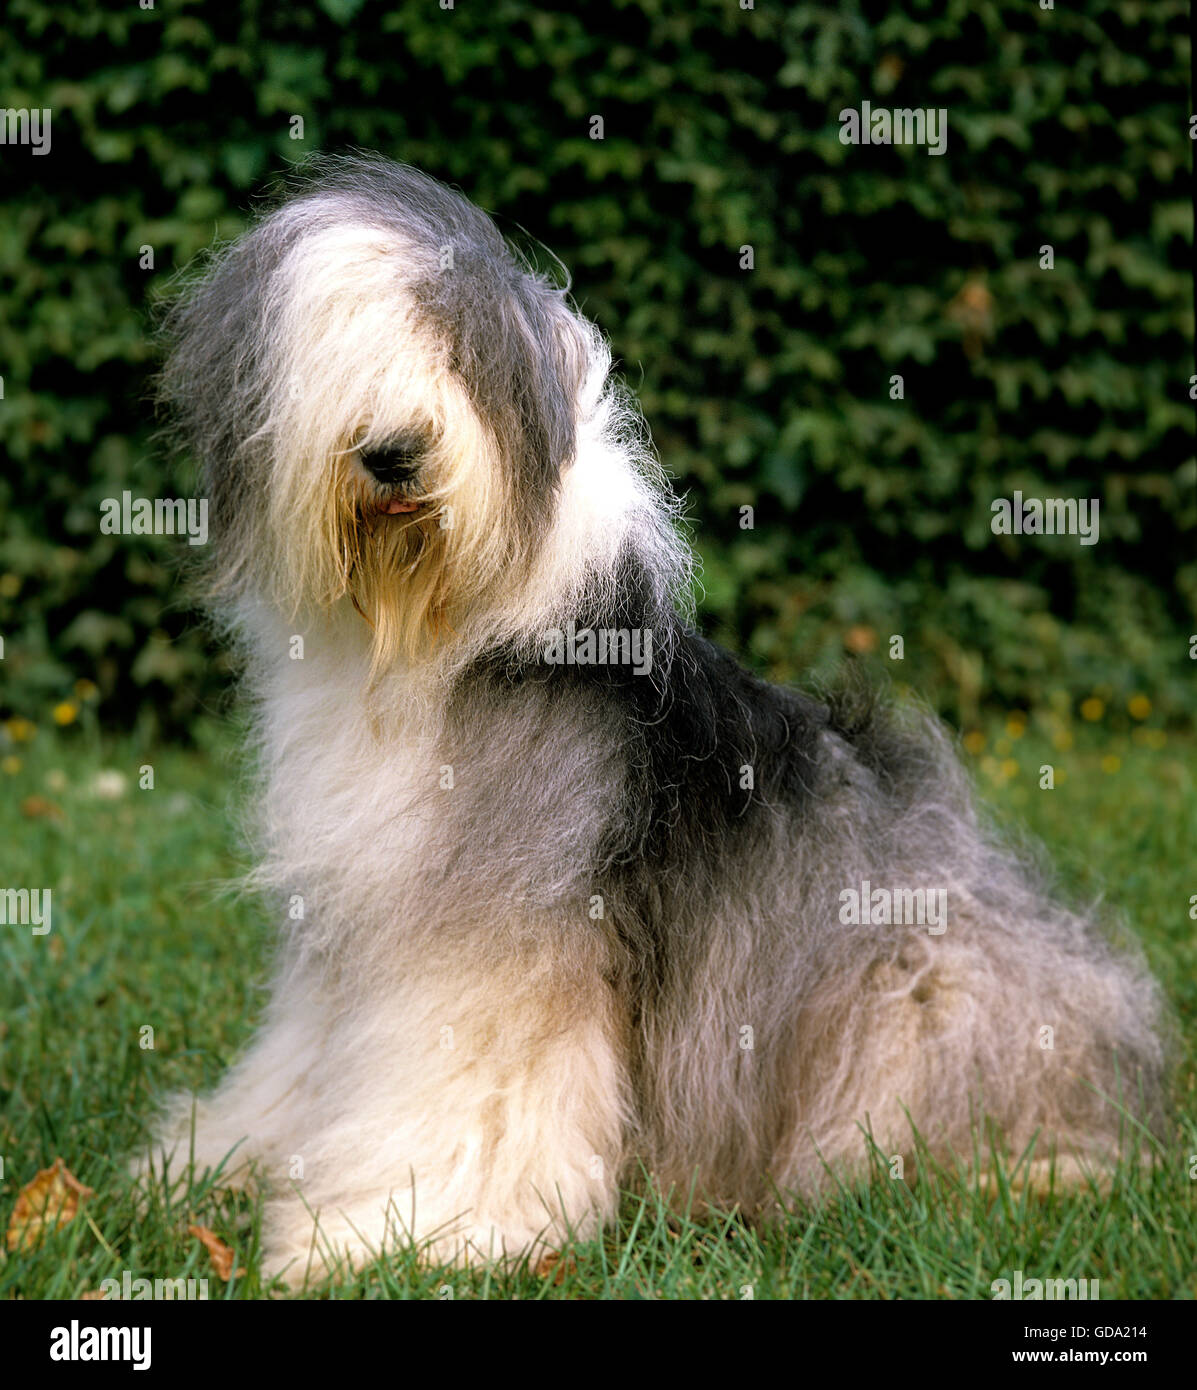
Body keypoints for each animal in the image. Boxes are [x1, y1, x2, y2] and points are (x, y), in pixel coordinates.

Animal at [140, 152, 1167, 1278]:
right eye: (337, 350)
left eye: (457, 349)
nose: (396, 451)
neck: (436, 639)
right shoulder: (350, 917)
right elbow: (306, 1056)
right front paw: (223, 1160)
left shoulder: (498, 940)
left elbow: (468, 1090)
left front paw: (391, 1231)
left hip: (921, 1000)